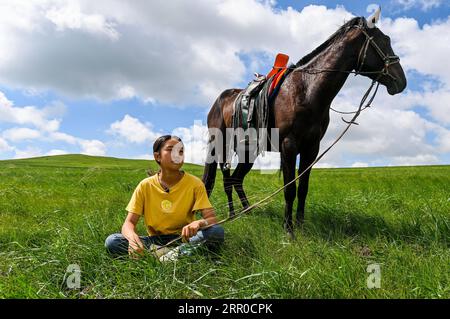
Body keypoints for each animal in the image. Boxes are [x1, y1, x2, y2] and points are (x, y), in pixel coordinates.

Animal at [202, 14, 406, 238]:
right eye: (383, 40)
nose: (401, 81)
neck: (307, 89)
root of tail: (218, 101)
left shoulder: (311, 148)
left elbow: (303, 188)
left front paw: (300, 225)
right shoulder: (289, 146)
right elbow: (289, 189)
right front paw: (288, 229)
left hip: (248, 152)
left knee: (236, 180)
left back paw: (247, 211)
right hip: (221, 147)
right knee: (226, 180)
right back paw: (231, 214)